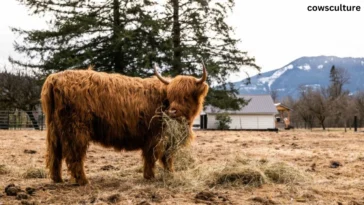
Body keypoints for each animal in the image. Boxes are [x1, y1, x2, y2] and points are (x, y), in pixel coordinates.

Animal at [40, 64, 208, 186]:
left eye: (186, 97)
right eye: (171, 96)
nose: (172, 111)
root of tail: (55, 77)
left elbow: (163, 157)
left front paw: (167, 174)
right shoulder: (157, 137)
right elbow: (157, 156)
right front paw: (152, 176)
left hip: (54, 130)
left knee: (54, 154)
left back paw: (57, 179)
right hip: (76, 129)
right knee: (74, 155)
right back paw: (83, 181)